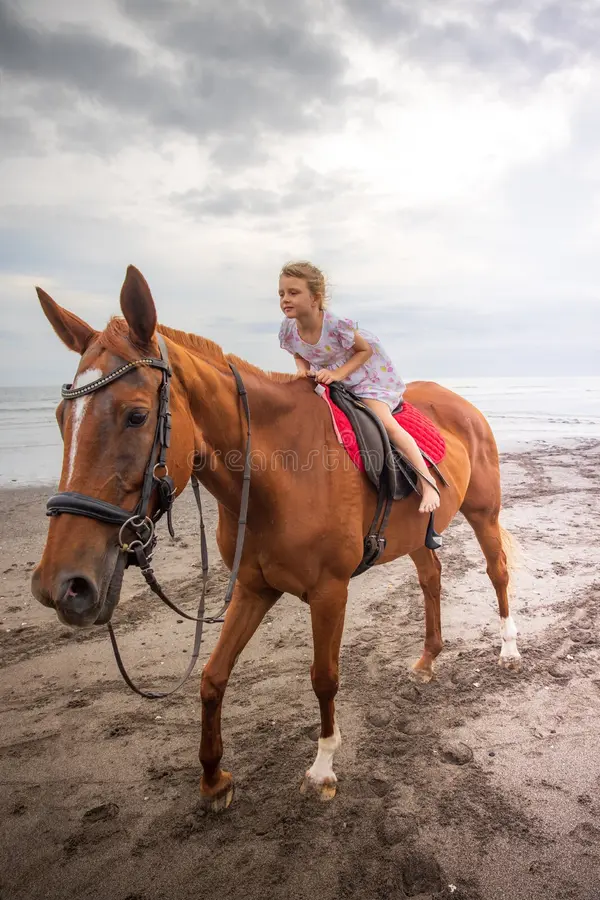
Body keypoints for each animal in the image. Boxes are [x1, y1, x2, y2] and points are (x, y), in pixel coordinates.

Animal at [31, 265, 521, 811]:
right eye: (60, 419)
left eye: (136, 415)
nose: (63, 586)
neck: (278, 472)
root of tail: (461, 403)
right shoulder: (253, 586)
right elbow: (212, 678)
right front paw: (214, 779)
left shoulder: (330, 592)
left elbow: (324, 678)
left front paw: (323, 768)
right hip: (417, 537)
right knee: (432, 579)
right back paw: (427, 659)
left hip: (484, 514)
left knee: (497, 572)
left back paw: (509, 650)